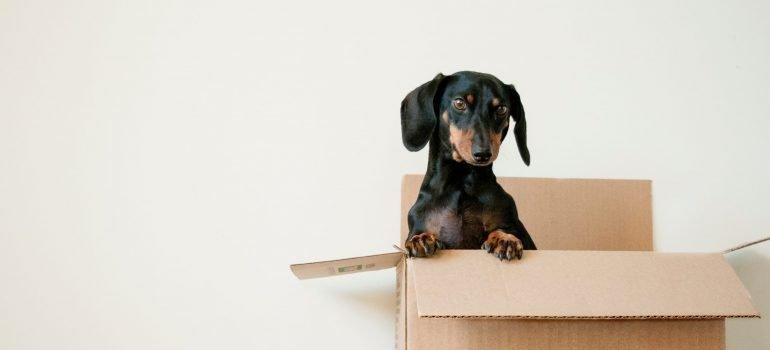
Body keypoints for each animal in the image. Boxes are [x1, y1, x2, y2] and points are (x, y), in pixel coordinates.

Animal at [400, 71, 536, 262]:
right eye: (459, 103)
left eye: (501, 109)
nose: (483, 154)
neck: (461, 183)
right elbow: (418, 235)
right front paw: (421, 239)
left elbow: (502, 230)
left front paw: (504, 238)